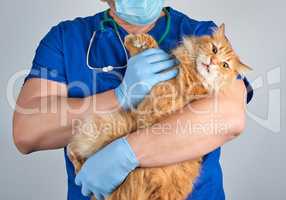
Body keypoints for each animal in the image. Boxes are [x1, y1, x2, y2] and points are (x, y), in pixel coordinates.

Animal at [67, 24, 250, 200]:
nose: (212, 61)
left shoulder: (179, 81)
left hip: (112, 126)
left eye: (225, 65)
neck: (193, 70)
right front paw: (133, 40)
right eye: (214, 49)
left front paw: (138, 39)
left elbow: (154, 46)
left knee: (78, 155)